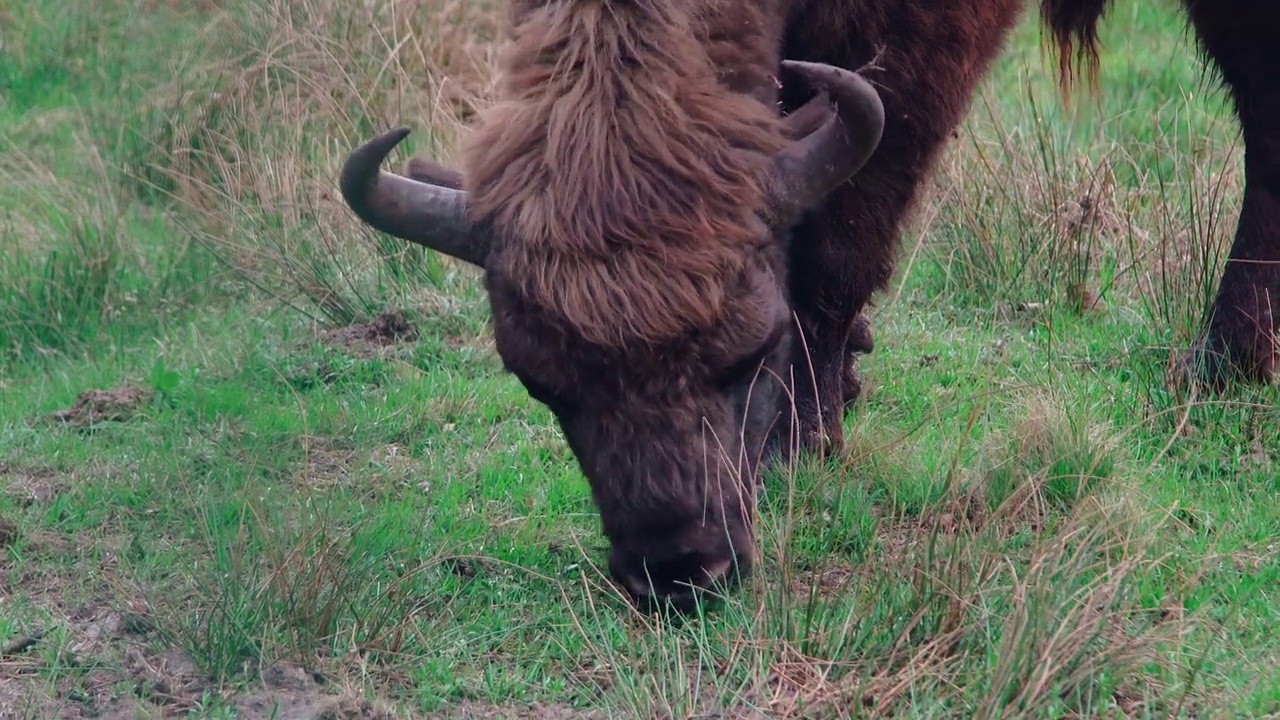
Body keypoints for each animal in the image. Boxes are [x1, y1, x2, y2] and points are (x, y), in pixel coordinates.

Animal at [343, 0, 1280, 607]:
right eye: (543, 385)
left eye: (745, 354)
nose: (678, 572)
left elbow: (838, 234)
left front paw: (803, 439)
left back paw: (1222, 360)